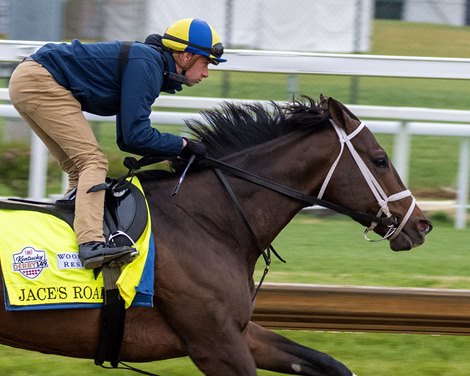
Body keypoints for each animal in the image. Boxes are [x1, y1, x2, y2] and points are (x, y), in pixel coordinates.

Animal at [0, 97, 432, 376]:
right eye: (380, 160)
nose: (421, 225)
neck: (209, 221)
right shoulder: (216, 344)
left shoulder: (238, 332)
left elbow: (331, 365)